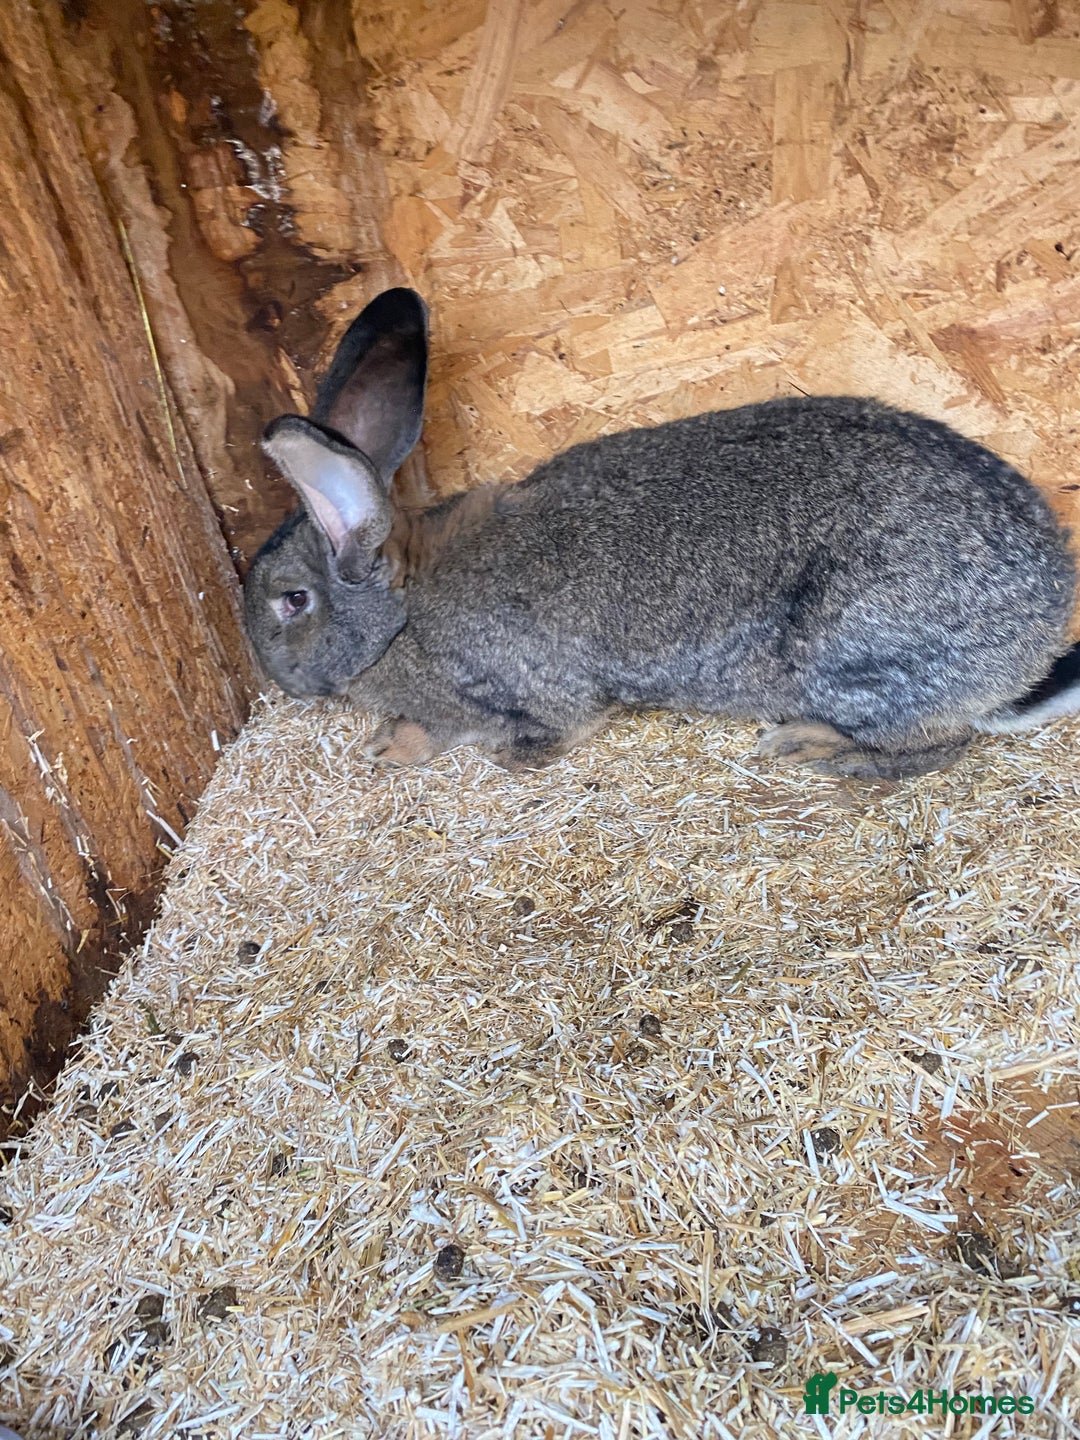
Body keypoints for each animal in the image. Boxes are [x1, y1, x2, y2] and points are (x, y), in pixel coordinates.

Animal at [243, 286, 1080, 780]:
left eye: (292, 601)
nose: (274, 677)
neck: (402, 612)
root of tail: (1030, 648)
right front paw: (387, 742)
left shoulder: (536, 693)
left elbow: (521, 737)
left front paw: (414, 746)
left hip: (856, 650)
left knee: (936, 742)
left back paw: (808, 746)